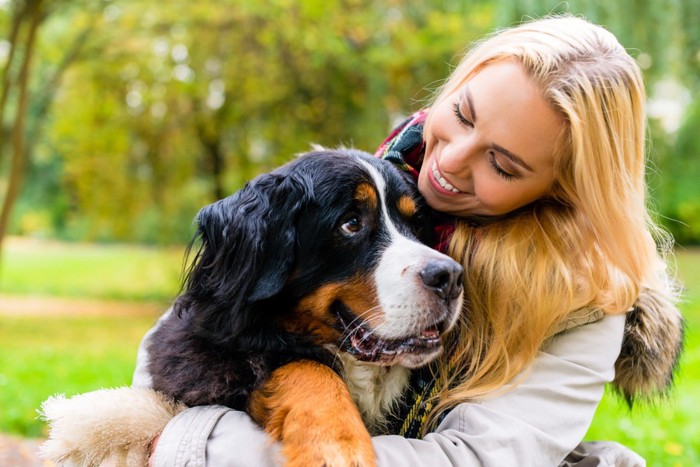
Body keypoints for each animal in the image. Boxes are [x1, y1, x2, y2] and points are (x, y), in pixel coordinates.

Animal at [39, 150, 464, 467]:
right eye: (350, 224)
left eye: (417, 226)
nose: (451, 276)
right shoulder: (202, 360)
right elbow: (306, 367)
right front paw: (337, 445)